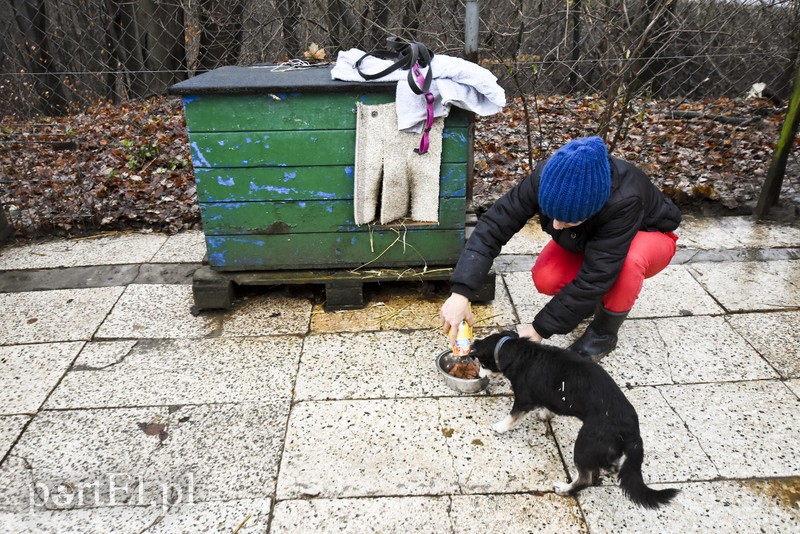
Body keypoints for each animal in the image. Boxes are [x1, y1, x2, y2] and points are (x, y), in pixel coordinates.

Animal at [472, 330, 680, 510]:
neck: (516, 351)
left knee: (585, 478)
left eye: (482, 363)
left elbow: (513, 416)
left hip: (585, 444)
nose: (477, 375)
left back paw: (565, 488)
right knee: (610, 466)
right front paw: (546, 414)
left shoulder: (524, 399)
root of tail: (633, 430)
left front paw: (499, 427)